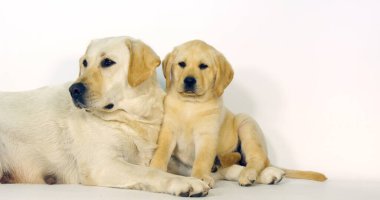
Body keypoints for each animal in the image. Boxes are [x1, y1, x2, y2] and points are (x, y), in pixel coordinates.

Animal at [0, 36, 211, 197]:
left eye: (107, 62)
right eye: (85, 63)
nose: (74, 90)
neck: (131, 119)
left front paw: (202, 175)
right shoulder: (102, 164)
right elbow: (149, 172)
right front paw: (185, 182)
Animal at [149, 39, 326, 188]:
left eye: (203, 66)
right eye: (181, 64)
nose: (189, 80)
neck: (190, 105)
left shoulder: (207, 135)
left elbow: (202, 159)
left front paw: (200, 177)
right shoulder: (168, 130)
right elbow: (161, 152)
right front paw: (156, 170)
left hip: (246, 123)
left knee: (257, 159)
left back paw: (250, 174)